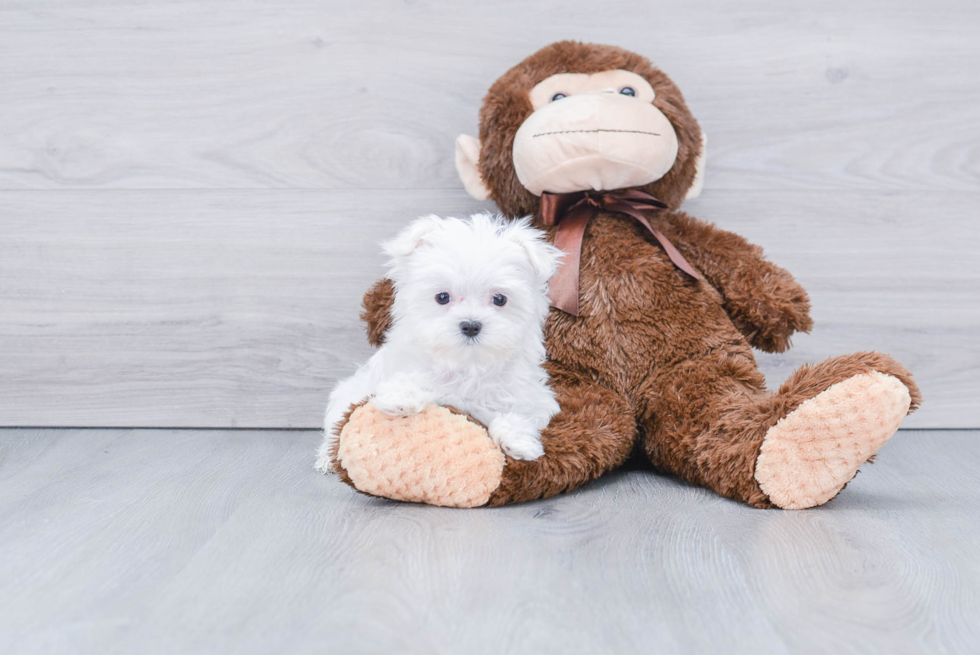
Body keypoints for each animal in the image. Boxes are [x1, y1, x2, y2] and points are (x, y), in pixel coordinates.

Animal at [318, 213, 564, 464]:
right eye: (442, 297)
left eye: (500, 299)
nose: (471, 325)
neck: (466, 365)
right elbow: (410, 380)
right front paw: (400, 398)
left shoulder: (533, 397)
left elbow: (520, 413)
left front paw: (518, 441)